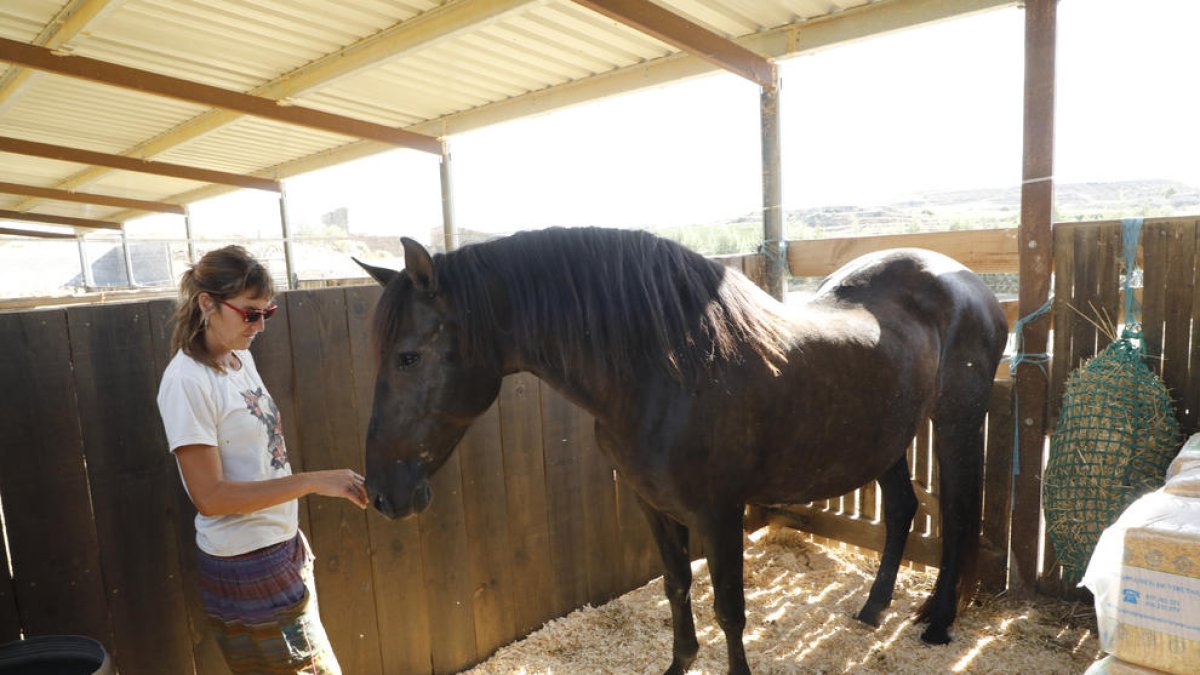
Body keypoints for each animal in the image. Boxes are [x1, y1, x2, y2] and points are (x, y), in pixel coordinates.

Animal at [355, 226, 1007, 674]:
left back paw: (939, 622)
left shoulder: (719, 514)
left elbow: (730, 609)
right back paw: (873, 610)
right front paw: (679, 661)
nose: (383, 494)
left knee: (958, 513)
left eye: (408, 357)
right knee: (902, 509)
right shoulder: (652, 505)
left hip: (955, 422)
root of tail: (968, 282)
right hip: (885, 437)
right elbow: (676, 588)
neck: (668, 369)